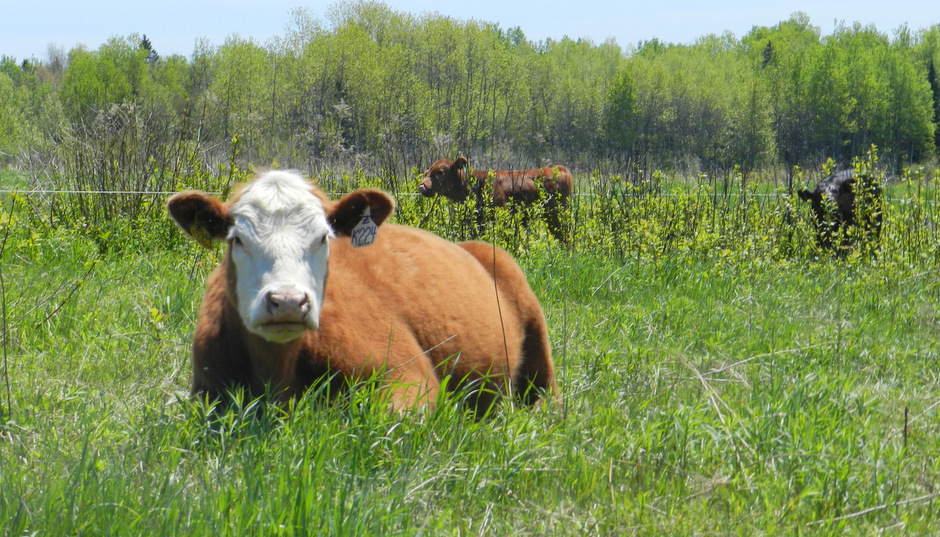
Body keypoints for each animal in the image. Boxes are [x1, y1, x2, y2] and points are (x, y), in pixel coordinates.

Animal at [167, 172, 560, 414]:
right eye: (237, 239)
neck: (277, 371)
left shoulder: (407, 374)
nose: (288, 302)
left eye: (323, 238)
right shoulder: (205, 393)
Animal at [418, 157, 572, 241]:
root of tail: (557, 168)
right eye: (426, 172)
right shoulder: (477, 220)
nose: (422, 186)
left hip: (556, 214)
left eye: (440, 172)